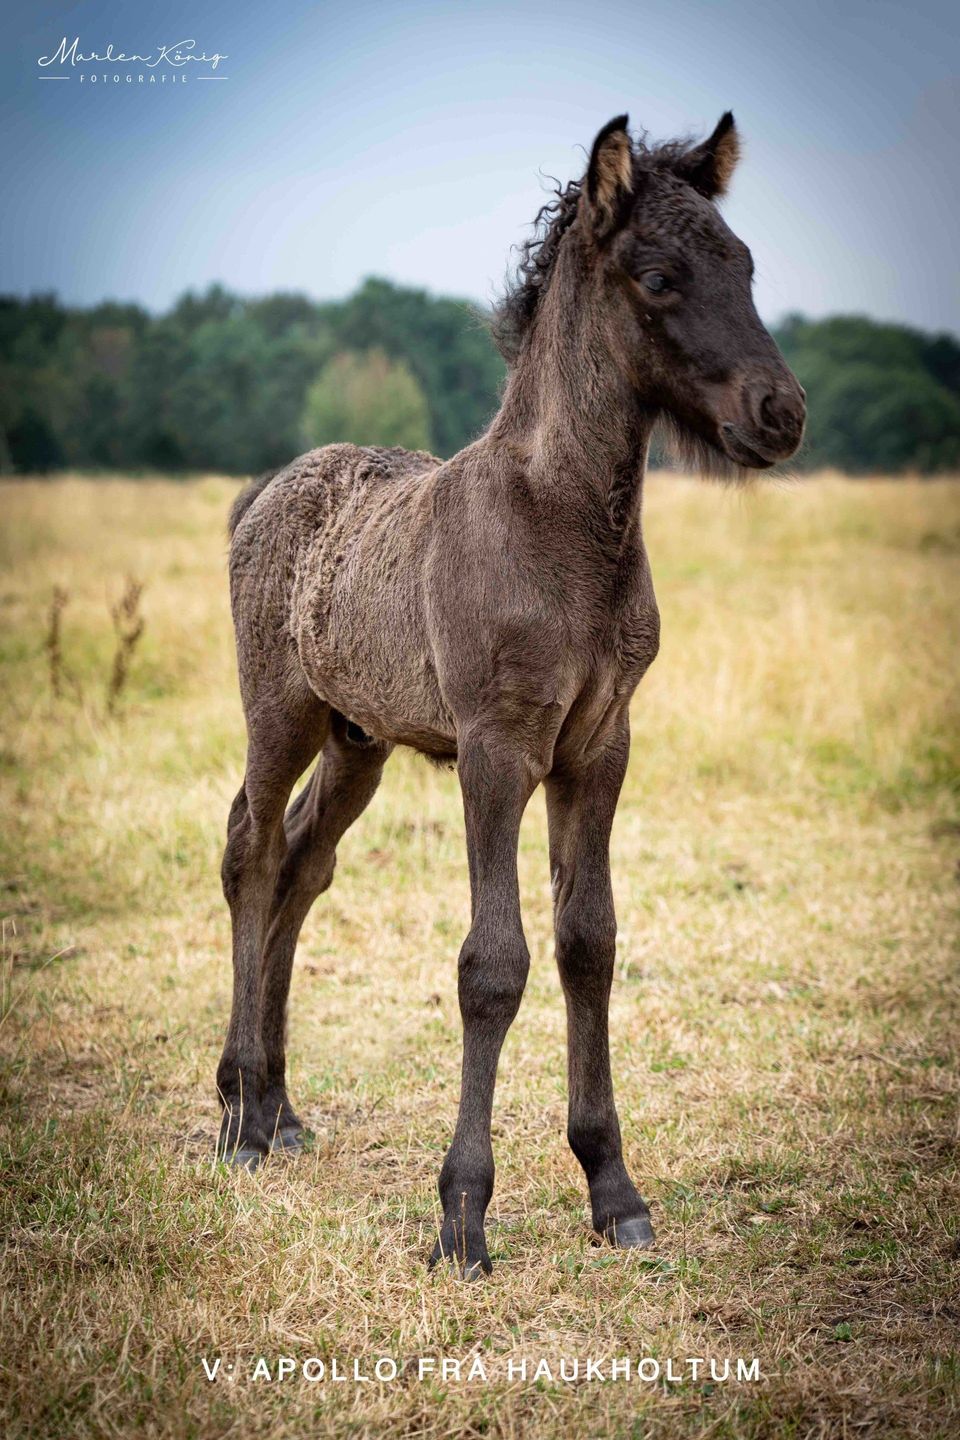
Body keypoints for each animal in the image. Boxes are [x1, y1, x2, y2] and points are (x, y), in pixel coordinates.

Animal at [215, 115, 805, 1284]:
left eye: (748, 265)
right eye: (659, 277)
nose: (781, 412)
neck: (563, 527)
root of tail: (264, 491)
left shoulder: (599, 748)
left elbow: (590, 944)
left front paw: (614, 1190)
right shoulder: (497, 752)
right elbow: (494, 965)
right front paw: (463, 1218)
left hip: (358, 741)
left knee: (303, 863)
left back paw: (281, 1109)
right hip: (282, 714)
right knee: (252, 853)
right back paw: (243, 1117)